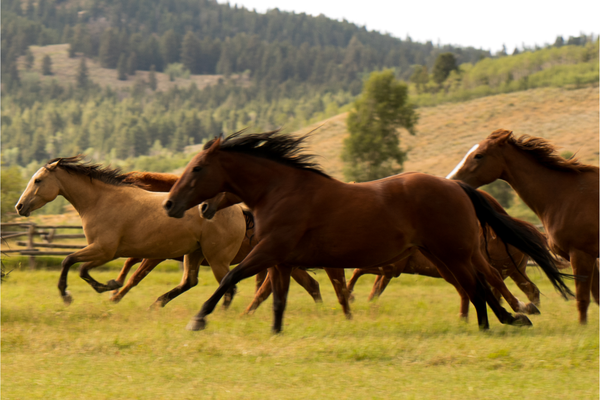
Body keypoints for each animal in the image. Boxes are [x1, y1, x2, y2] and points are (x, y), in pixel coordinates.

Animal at [15, 155, 247, 306]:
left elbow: (71, 262)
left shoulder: (104, 250)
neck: (100, 201)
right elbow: (80, 267)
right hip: (194, 253)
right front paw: (108, 287)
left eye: (38, 180)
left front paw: (69, 294)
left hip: (216, 259)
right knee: (191, 281)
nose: (19, 206)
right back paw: (157, 304)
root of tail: (238, 210)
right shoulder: (107, 252)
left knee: (229, 286)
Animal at [163, 130, 572, 332]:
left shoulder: (269, 251)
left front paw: (198, 319)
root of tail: (456, 186)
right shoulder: (281, 260)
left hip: (453, 253)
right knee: (476, 287)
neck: (281, 191)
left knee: (478, 286)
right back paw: (501, 321)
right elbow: (276, 300)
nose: (171, 205)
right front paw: (275, 332)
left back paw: (503, 320)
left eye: (197, 168)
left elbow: (231, 277)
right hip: (446, 255)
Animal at [448, 130, 596, 324]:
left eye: (479, 155)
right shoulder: (586, 256)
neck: (567, 194)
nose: (451, 180)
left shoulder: (581, 255)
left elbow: (583, 299)